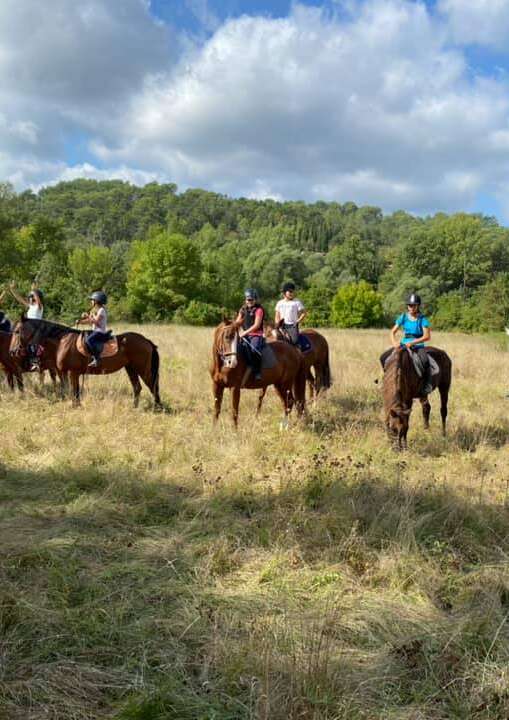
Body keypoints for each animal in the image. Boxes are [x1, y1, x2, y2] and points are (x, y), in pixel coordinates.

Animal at [10, 318, 161, 408]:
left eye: (17, 331)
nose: (12, 352)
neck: (62, 342)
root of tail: (146, 340)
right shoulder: (66, 372)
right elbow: (71, 390)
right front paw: (75, 405)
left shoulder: (73, 372)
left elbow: (74, 391)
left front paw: (75, 406)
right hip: (131, 369)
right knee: (137, 388)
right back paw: (135, 407)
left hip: (142, 369)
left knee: (152, 386)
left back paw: (157, 407)